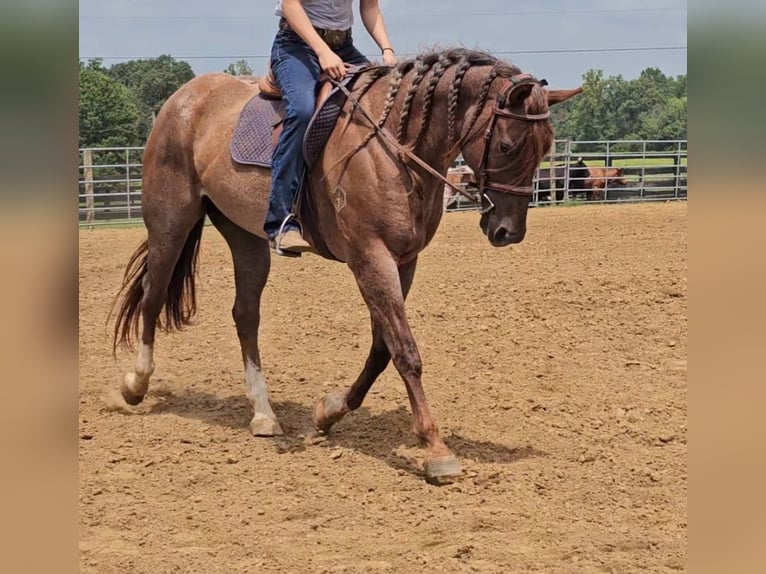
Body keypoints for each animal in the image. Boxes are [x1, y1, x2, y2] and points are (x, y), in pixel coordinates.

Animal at [111, 47, 584, 484]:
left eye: (546, 150)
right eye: (507, 145)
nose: (508, 231)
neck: (394, 146)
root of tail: (183, 98)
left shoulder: (403, 260)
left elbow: (382, 349)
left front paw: (329, 412)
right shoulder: (370, 256)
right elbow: (405, 351)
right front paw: (436, 449)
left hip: (245, 237)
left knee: (245, 315)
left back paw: (263, 414)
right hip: (170, 220)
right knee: (153, 296)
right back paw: (136, 384)